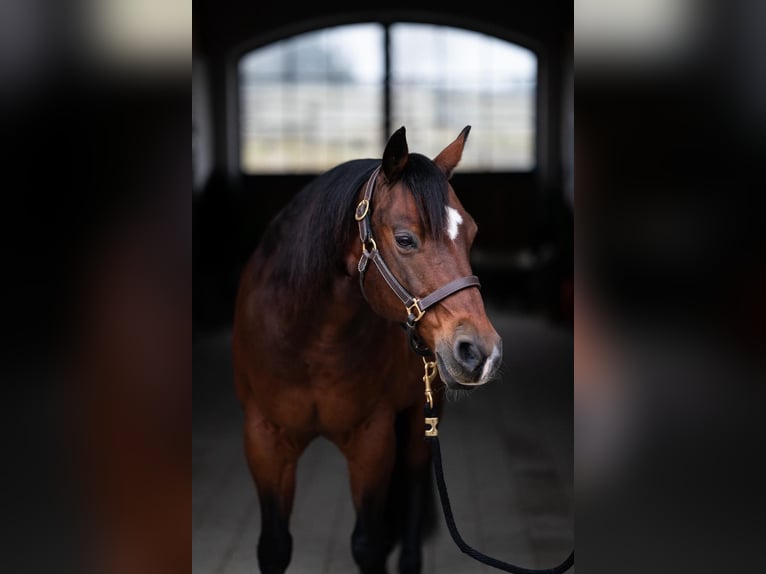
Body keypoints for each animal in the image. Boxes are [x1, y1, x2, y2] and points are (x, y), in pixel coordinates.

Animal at [232, 125, 503, 574]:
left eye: (472, 234)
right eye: (405, 239)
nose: (481, 352)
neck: (309, 341)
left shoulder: (371, 441)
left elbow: (368, 545)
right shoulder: (264, 438)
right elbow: (274, 546)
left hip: (421, 417)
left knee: (414, 485)